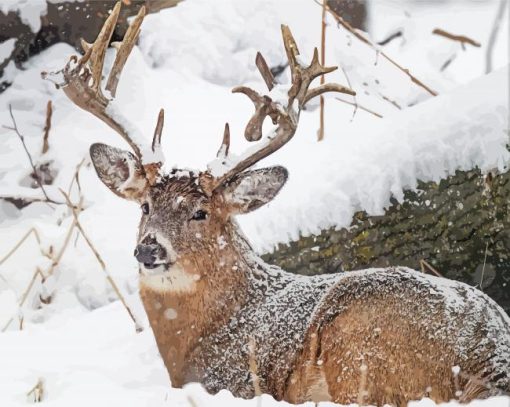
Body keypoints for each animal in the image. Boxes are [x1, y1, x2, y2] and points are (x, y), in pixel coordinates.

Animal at [48, 2, 510, 404]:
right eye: (144, 207)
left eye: (200, 213)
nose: (148, 248)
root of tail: (488, 355)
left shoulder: (238, 379)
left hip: (362, 347)